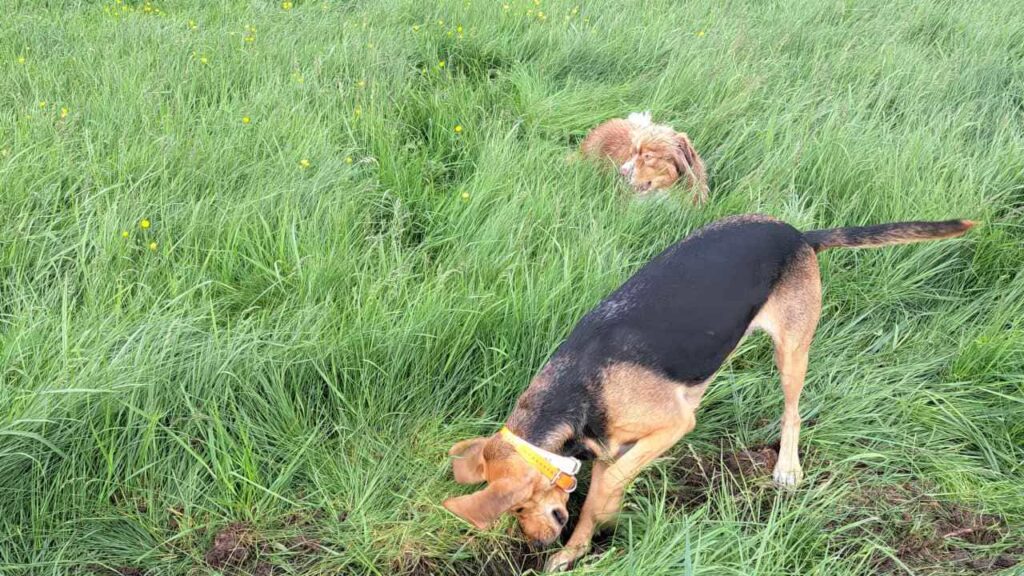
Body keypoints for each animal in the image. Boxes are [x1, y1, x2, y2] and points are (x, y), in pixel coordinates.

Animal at [444, 212, 970, 569]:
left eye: (518, 506)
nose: (533, 545)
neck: (575, 390)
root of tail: (798, 234)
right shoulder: (626, 439)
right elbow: (605, 484)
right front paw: (591, 533)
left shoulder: (669, 426)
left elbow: (604, 487)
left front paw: (584, 537)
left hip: (792, 349)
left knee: (793, 411)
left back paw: (787, 467)